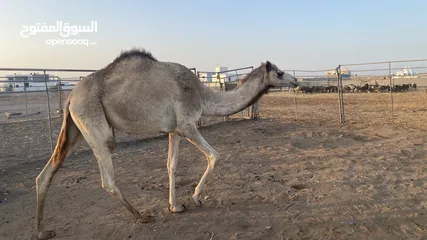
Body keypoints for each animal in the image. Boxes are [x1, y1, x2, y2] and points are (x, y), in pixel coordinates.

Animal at [35, 47, 300, 239]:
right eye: (279, 72)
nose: (296, 80)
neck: (203, 94)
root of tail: (70, 96)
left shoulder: (174, 130)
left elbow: (171, 166)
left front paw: (175, 206)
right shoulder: (187, 124)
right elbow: (214, 155)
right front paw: (195, 198)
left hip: (74, 129)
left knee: (46, 173)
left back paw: (42, 231)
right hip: (95, 125)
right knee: (107, 177)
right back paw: (141, 216)